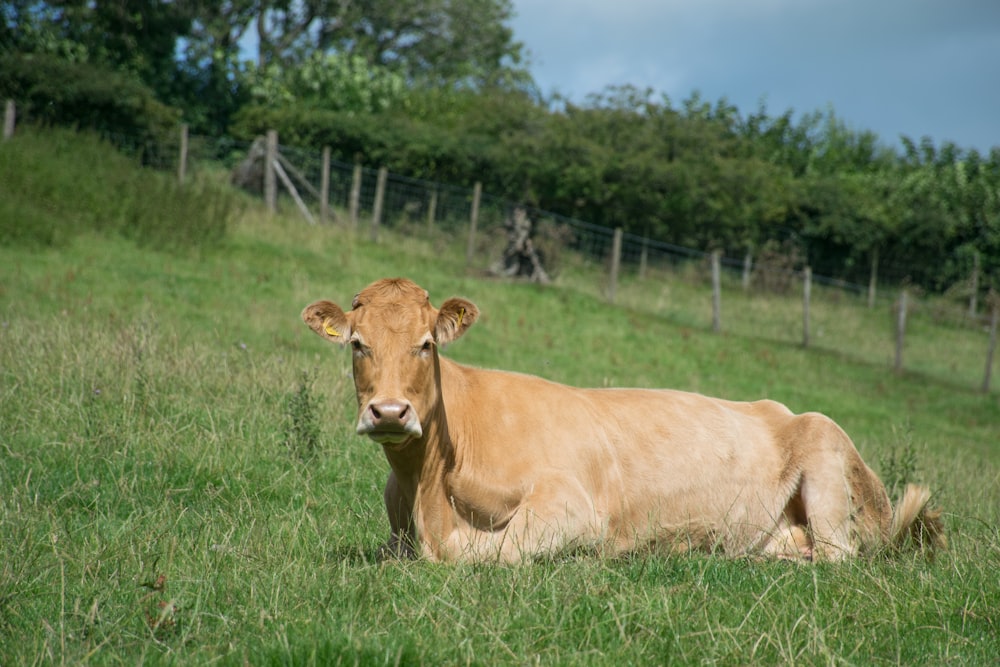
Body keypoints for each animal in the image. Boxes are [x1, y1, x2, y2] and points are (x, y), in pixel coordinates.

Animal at [300, 276, 940, 564]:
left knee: (838, 555)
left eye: (427, 344)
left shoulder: (569, 505)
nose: (388, 411)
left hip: (828, 466)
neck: (427, 486)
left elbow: (485, 550)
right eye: (357, 344)